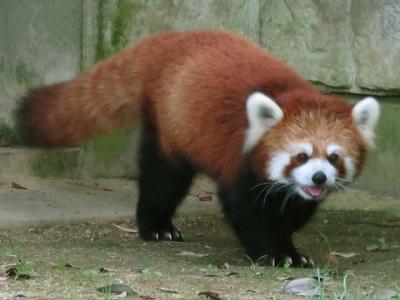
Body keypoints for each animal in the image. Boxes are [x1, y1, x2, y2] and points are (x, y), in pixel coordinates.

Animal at [16, 31, 378, 268]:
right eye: (300, 155)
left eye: (333, 157)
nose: (318, 178)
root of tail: (172, 38)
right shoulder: (238, 160)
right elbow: (244, 210)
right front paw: (273, 253)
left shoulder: (294, 194)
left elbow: (289, 213)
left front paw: (290, 247)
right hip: (170, 126)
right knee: (162, 180)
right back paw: (157, 226)